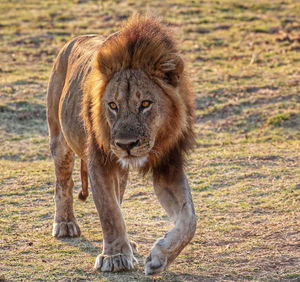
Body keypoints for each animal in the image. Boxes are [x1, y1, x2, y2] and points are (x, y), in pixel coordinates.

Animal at [47, 14, 197, 274]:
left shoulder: (168, 164)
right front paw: (115, 257)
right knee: (63, 182)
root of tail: (74, 39)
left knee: (119, 192)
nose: (126, 144)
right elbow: (109, 211)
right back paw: (65, 224)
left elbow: (189, 219)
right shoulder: (99, 159)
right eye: (113, 106)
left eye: (145, 104)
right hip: (59, 139)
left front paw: (159, 257)